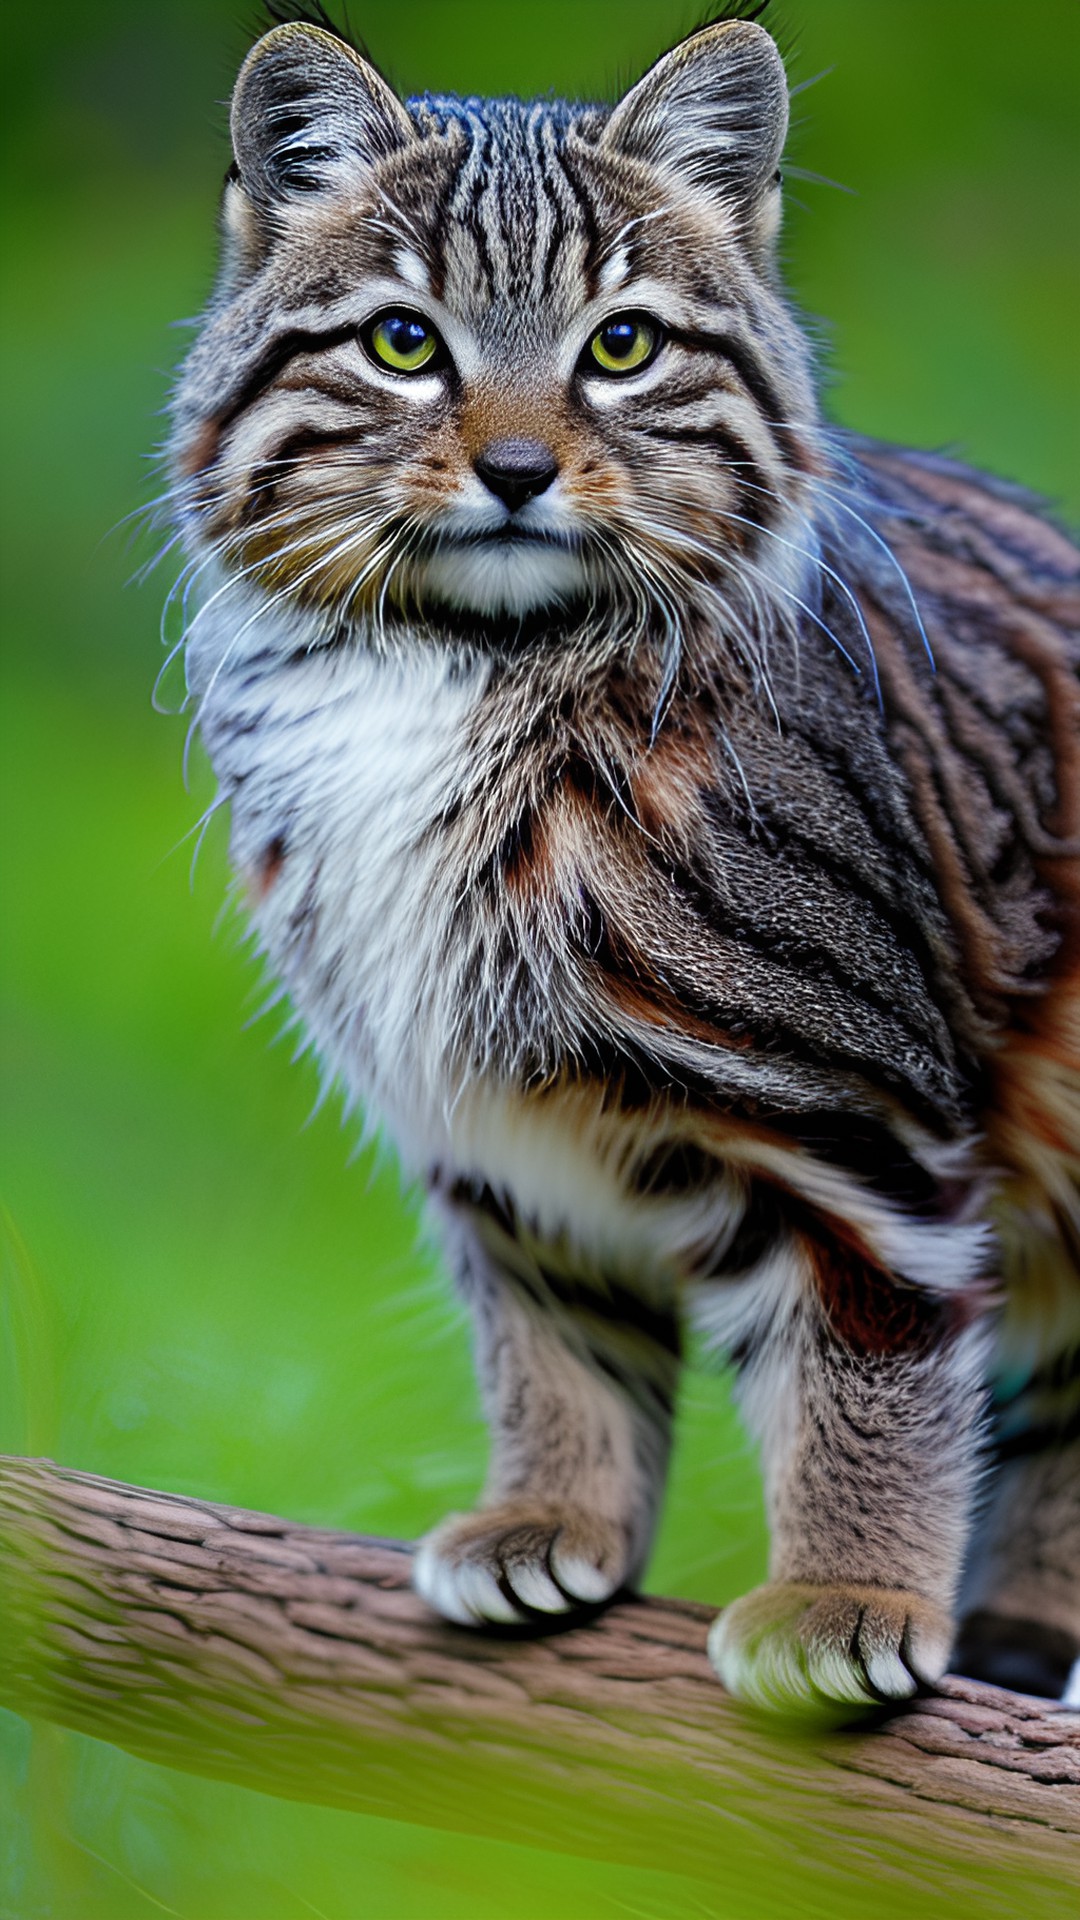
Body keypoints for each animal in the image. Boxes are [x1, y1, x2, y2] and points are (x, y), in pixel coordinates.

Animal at [164, 3, 1068, 1712]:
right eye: (405, 343)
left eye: (624, 347)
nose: (516, 470)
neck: (460, 667)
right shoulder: (492, 1134)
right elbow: (551, 1342)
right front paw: (551, 1512)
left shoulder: (854, 1128)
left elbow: (873, 1367)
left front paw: (850, 1590)